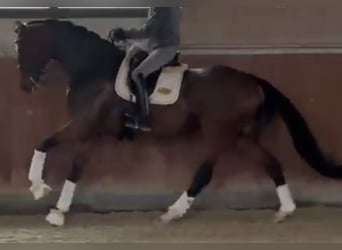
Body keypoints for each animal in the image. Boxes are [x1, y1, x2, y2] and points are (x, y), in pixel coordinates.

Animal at [14, 19, 342, 227]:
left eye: (21, 47)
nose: (25, 87)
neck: (93, 70)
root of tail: (251, 81)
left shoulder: (82, 125)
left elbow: (43, 143)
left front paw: (38, 188)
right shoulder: (91, 130)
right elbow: (76, 168)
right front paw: (59, 211)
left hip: (219, 134)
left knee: (204, 174)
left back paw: (172, 213)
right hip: (243, 135)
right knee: (272, 163)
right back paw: (285, 210)